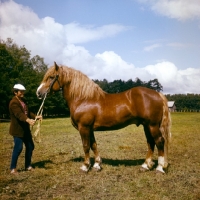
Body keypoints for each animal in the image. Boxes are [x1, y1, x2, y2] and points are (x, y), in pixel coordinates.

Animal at [36, 62, 171, 173]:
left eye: (51, 77)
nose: (38, 92)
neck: (83, 98)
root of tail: (157, 94)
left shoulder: (84, 127)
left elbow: (86, 146)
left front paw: (85, 166)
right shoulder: (89, 128)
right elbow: (93, 145)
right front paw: (97, 165)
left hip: (152, 125)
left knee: (159, 141)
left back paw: (159, 168)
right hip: (146, 125)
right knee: (150, 143)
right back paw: (145, 166)